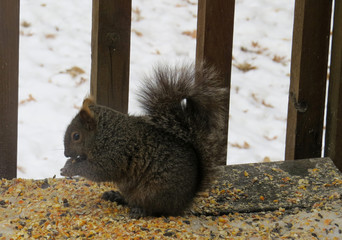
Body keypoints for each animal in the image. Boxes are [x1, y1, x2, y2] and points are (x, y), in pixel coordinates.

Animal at [60, 62, 228, 218]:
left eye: (76, 136)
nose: (66, 154)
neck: (105, 134)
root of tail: (185, 201)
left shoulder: (113, 153)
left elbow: (96, 171)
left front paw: (70, 169)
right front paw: (69, 164)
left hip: (154, 191)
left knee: (155, 209)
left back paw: (139, 210)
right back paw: (116, 196)